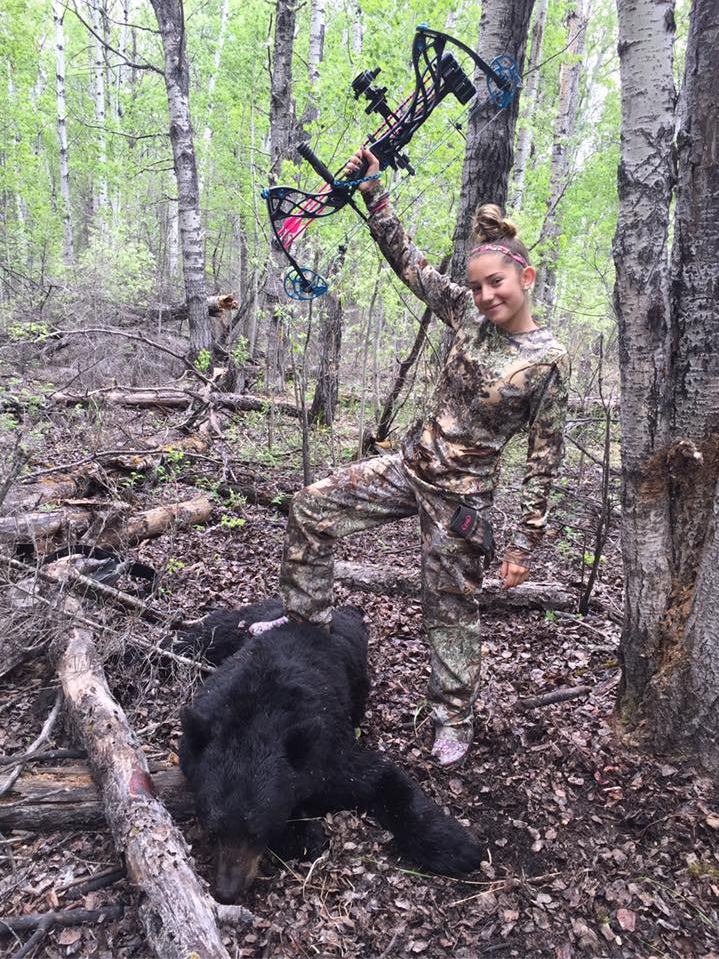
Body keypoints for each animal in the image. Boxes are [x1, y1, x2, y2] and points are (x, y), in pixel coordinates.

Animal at [178, 596, 486, 904]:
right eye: (212, 829)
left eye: (255, 832)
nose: (226, 892)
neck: (255, 719)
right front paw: (302, 833)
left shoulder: (328, 758)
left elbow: (383, 778)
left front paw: (455, 846)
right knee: (211, 632)